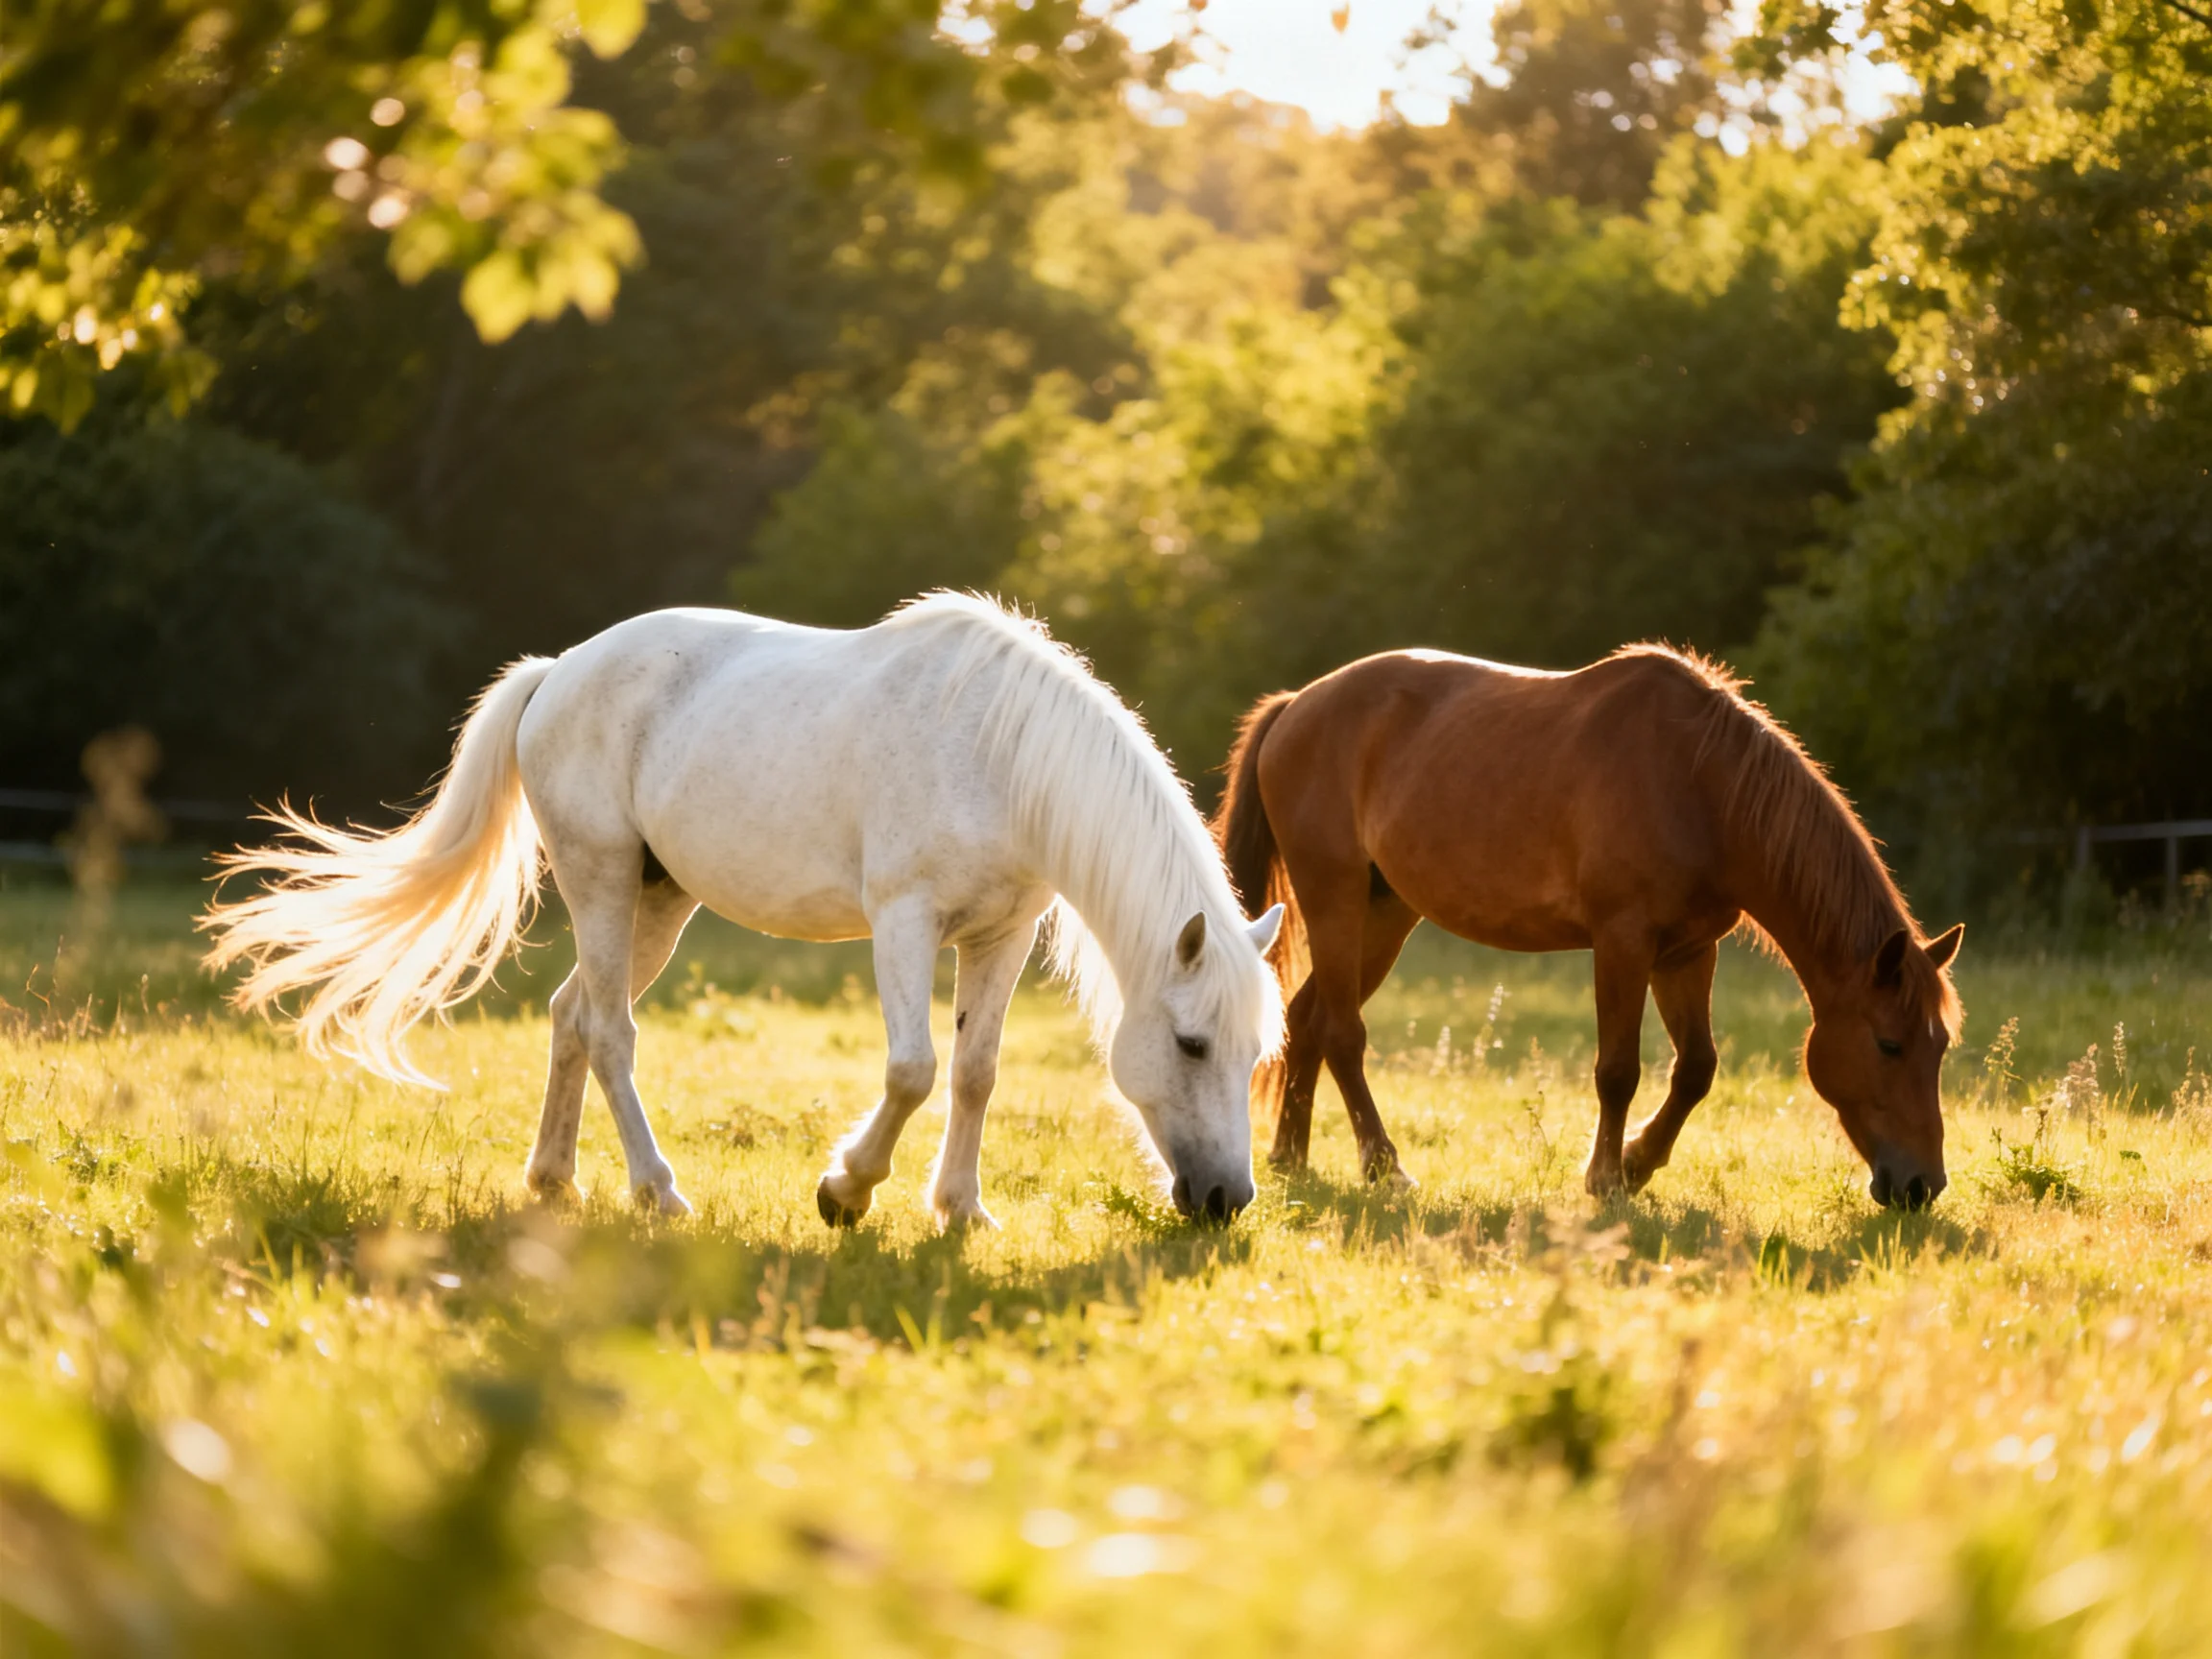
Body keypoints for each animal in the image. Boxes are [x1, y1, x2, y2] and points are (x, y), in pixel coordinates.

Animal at [203, 594, 1285, 1227]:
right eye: (1191, 1044)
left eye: (1256, 1054)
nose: (1227, 1199)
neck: (998, 751)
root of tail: (556, 672)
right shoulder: (905, 922)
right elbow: (913, 1069)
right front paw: (845, 1191)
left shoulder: (1001, 934)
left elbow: (975, 1074)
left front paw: (960, 1212)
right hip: (601, 881)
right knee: (610, 1033)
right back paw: (657, 1191)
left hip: (656, 902)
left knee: (571, 1017)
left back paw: (555, 1181)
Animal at [1213, 644, 1964, 1211]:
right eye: (1890, 1044)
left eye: (1941, 1047)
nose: (1921, 1186)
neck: (1701, 787)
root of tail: (1295, 707)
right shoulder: (1622, 941)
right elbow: (1618, 1070)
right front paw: (1605, 1178)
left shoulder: (1688, 951)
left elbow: (1696, 1069)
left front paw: (1636, 1163)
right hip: (1334, 899)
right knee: (1343, 1033)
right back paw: (1384, 1167)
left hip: (1386, 913)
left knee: (1308, 1018)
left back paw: (1290, 1158)